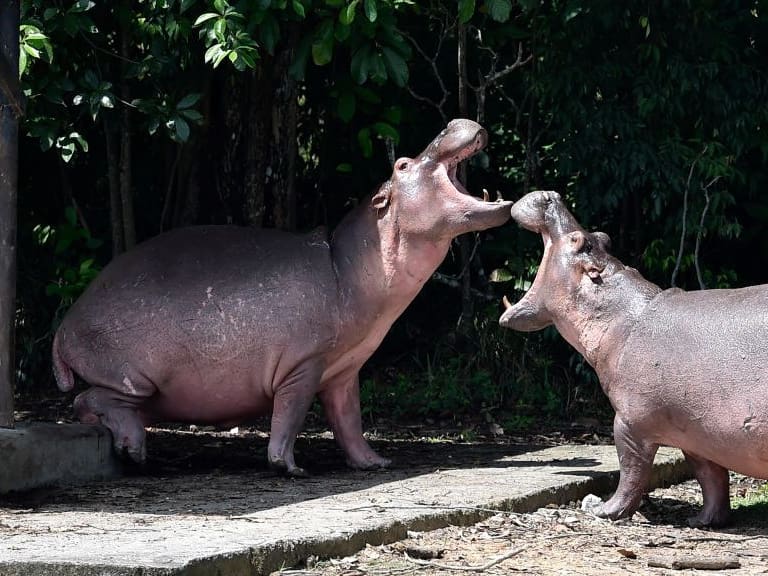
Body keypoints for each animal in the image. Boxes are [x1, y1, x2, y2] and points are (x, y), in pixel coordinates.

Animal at [53, 119, 513, 476]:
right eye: (401, 164)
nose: (451, 123)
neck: (347, 264)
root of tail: (64, 327)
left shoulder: (345, 369)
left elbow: (350, 421)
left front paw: (375, 463)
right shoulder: (303, 365)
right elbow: (289, 417)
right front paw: (290, 468)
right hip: (135, 378)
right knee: (88, 400)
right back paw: (134, 450)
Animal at [499, 190, 768, 527]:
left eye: (576, 240)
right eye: (602, 237)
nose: (551, 195)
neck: (619, 317)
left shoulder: (628, 423)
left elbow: (631, 473)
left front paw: (599, 509)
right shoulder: (696, 431)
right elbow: (710, 477)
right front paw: (702, 521)